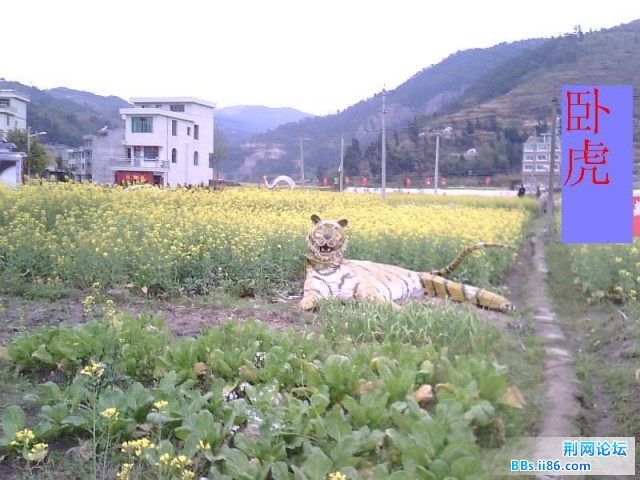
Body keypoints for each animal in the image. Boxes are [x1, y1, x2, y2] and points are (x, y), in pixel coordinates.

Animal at [299, 214, 515, 312]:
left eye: (335, 230)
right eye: (321, 229)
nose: (327, 237)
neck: (327, 266)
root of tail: (419, 272)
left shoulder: (365, 287)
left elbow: (375, 298)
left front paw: (398, 310)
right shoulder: (313, 290)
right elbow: (307, 300)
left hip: (442, 283)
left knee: (473, 292)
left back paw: (508, 306)